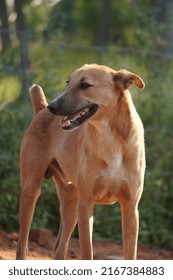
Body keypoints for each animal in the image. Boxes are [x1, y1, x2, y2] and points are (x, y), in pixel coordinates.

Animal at [16, 64, 145, 260]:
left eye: (85, 85)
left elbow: (131, 254)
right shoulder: (86, 204)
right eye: (68, 83)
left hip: (71, 203)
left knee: (59, 249)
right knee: (22, 245)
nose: (53, 107)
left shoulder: (130, 208)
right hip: (31, 192)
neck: (110, 138)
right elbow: (87, 250)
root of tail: (41, 109)